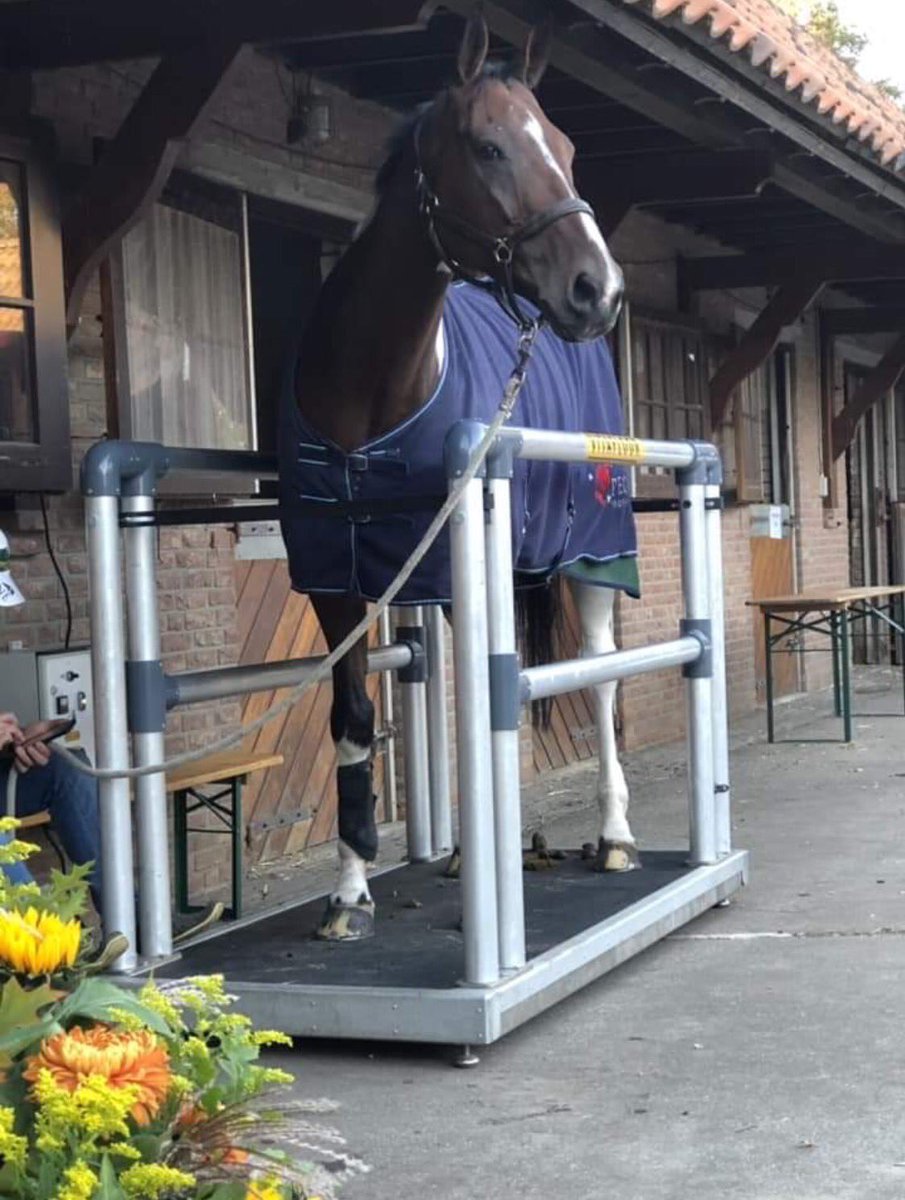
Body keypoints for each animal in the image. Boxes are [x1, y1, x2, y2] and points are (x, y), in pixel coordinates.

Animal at [278, 11, 639, 942]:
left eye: (565, 145)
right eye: (488, 147)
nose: (599, 289)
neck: (368, 400)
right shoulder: (336, 577)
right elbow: (353, 720)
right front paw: (348, 893)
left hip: (593, 557)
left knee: (597, 675)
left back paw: (614, 836)